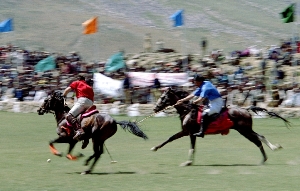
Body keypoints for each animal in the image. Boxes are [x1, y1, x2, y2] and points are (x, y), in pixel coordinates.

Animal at [152, 87, 290, 166]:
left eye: (163, 97)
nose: (155, 108)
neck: (187, 110)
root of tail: (245, 109)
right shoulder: (187, 132)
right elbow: (172, 139)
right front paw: (155, 147)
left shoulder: (189, 132)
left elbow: (186, 145)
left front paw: (188, 162)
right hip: (246, 129)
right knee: (260, 136)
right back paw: (272, 150)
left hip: (244, 130)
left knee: (257, 141)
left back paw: (265, 158)